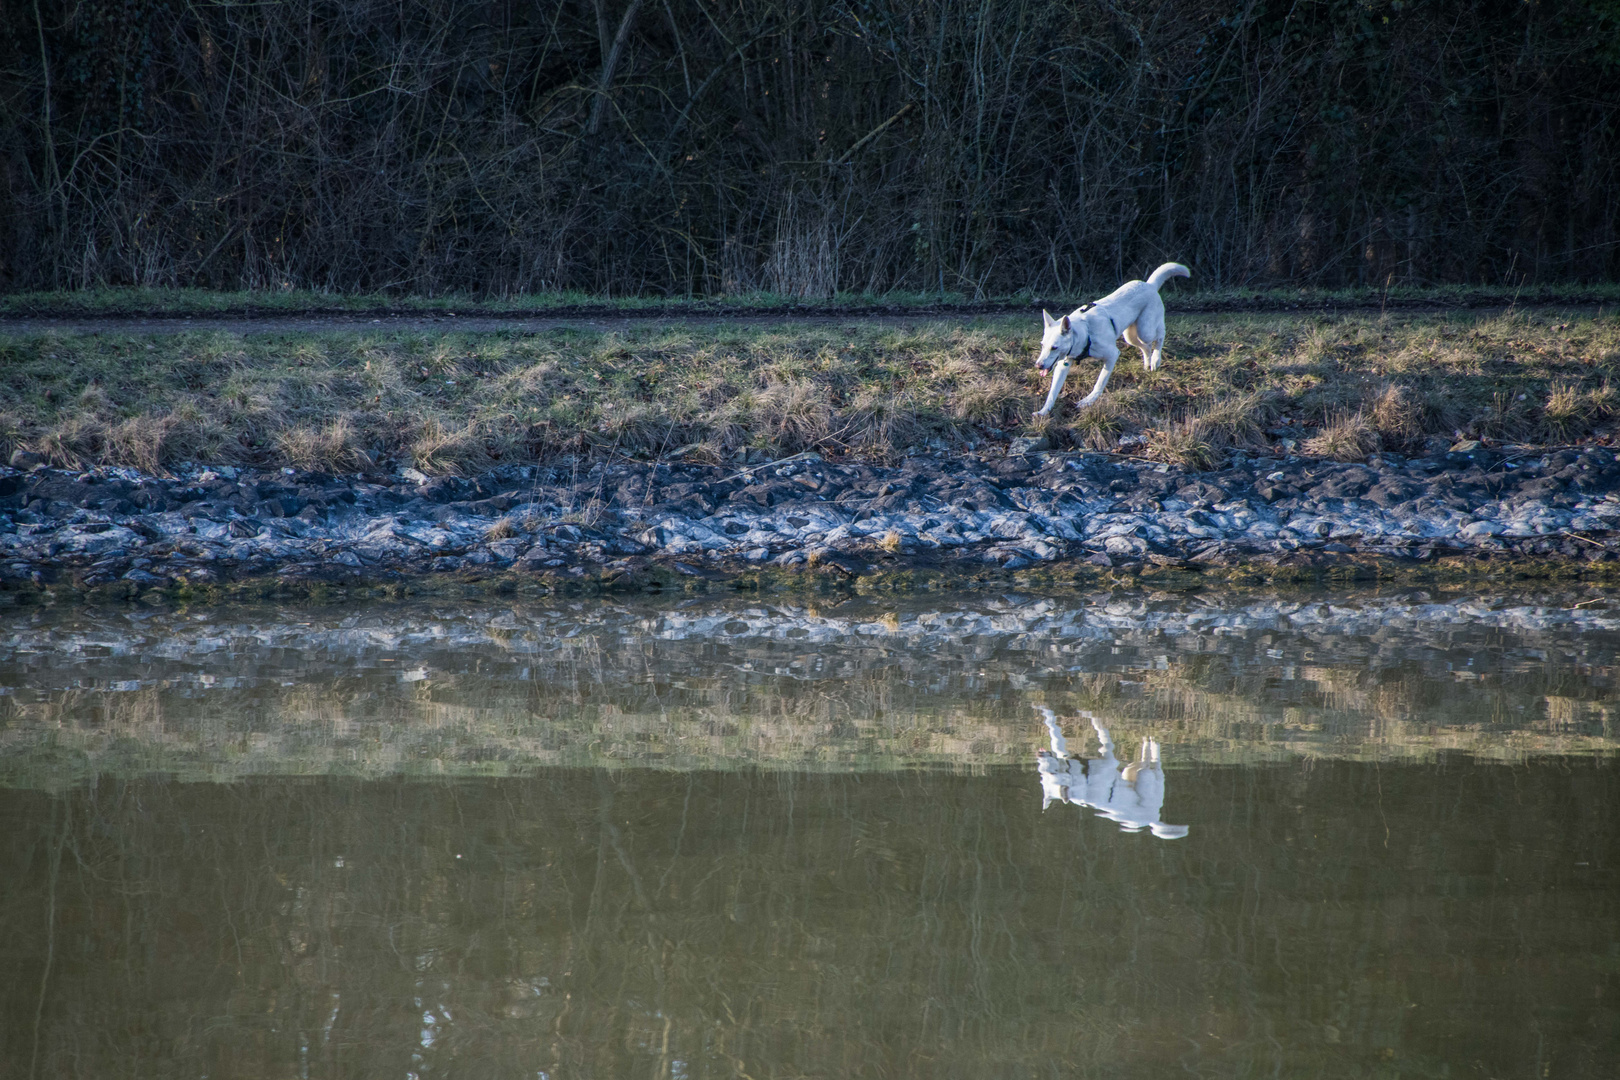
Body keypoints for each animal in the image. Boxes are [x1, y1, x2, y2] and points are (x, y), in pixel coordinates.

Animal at [1036, 262, 1192, 417]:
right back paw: (1147, 364)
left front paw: (1088, 401)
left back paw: (1155, 360)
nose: (1038, 366)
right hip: (1130, 336)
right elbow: (1052, 393)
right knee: (1146, 347)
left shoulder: (1112, 355)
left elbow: (1099, 383)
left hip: (1145, 330)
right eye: (1042, 345)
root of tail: (1149, 285)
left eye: (1054, 348)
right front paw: (1043, 411)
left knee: (1160, 336)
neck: (1085, 332)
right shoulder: (1063, 366)